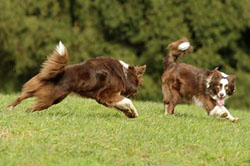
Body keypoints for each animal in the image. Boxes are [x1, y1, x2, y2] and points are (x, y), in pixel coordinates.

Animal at [7, 41, 146, 118]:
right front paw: (133, 112)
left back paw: (8, 109)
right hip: (52, 98)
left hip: (38, 88)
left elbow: (122, 104)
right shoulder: (106, 95)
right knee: (30, 108)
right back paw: (23, 113)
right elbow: (126, 101)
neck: (124, 73)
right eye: (138, 86)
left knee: (20, 97)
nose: (135, 93)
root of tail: (59, 73)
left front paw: (130, 114)